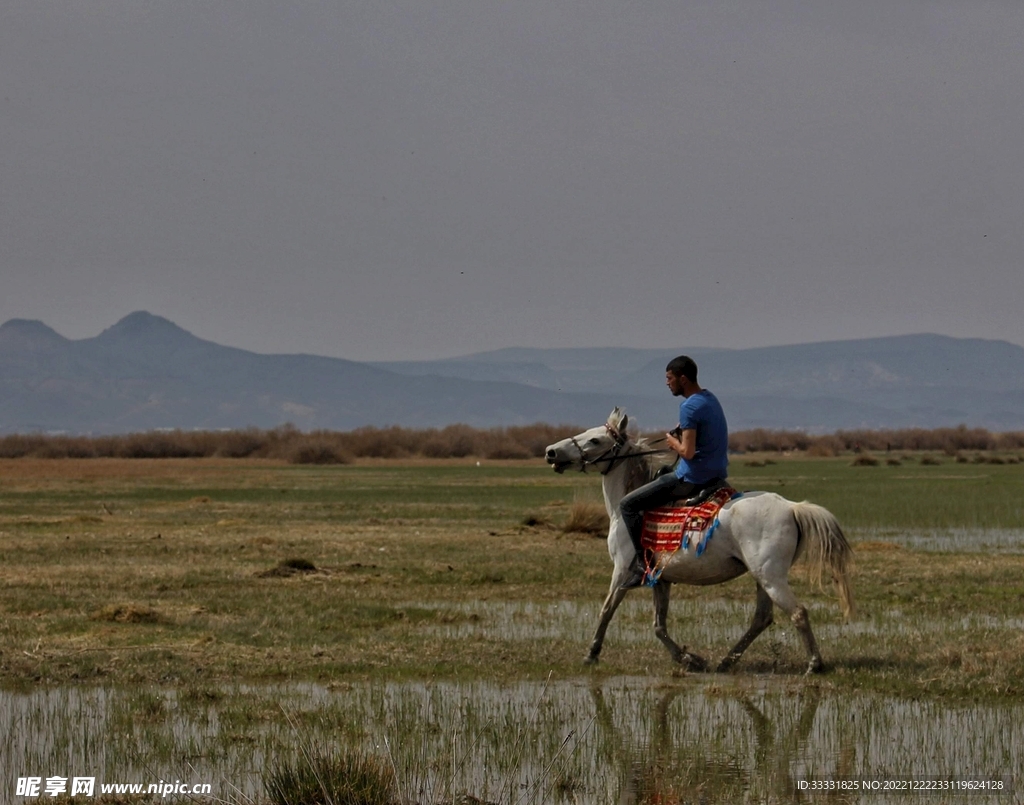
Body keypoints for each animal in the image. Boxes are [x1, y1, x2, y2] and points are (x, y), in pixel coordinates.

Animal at [544, 408, 854, 674]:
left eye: (595, 439)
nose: (551, 452)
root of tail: (791, 507)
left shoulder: (622, 570)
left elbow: (607, 610)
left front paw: (591, 654)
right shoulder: (660, 578)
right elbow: (659, 625)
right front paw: (690, 659)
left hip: (770, 577)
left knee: (798, 613)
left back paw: (814, 665)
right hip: (763, 577)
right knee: (762, 618)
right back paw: (726, 661)